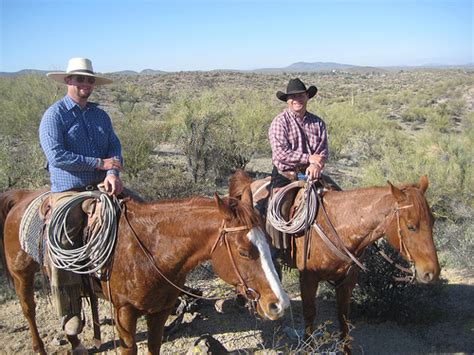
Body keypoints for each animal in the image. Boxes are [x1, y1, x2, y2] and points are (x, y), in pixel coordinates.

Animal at [0, 171, 288, 354]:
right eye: (243, 252)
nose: (279, 304)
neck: (148, 252)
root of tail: (21, 196)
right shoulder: (124, 314)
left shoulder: (160, 311)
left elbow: (154, 347)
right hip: (21, 273)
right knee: (29, 309)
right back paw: (39, 348)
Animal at [252, 177, 440, 352]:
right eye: (411, 227)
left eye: (433, 221)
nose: (432, 273)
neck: (338, 226)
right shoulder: (308, 278)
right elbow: (309, 312)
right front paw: (307, 347)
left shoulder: (347, 280)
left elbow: (343, 316)